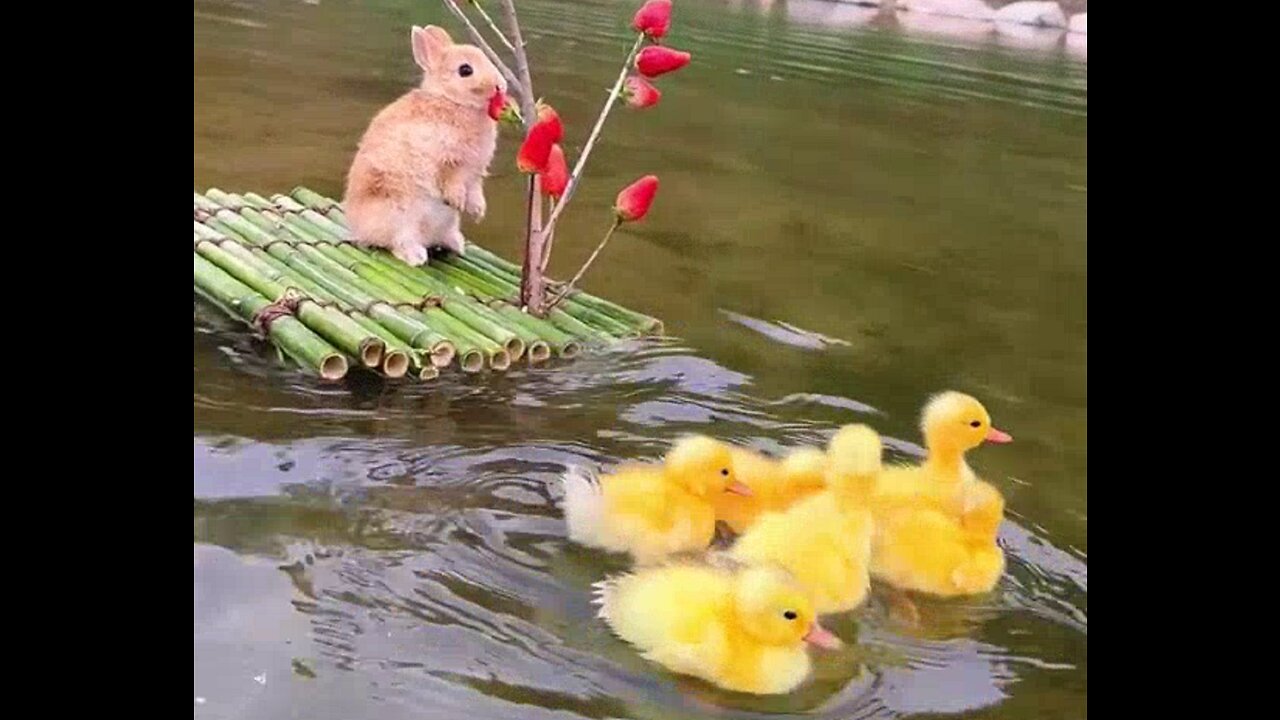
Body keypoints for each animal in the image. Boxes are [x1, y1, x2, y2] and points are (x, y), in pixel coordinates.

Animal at [343, 25, 506, 267]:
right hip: (400, 217)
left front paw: (477, 212)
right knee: (398, 243)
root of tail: (358, 229)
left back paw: (456, 245)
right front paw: (458, 202)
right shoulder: (449, 161)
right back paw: (416, 256)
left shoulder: (475, 173)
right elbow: (453, 182)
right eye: (465, 70)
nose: (500, 85)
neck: (452, 101)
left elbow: (475, 190)